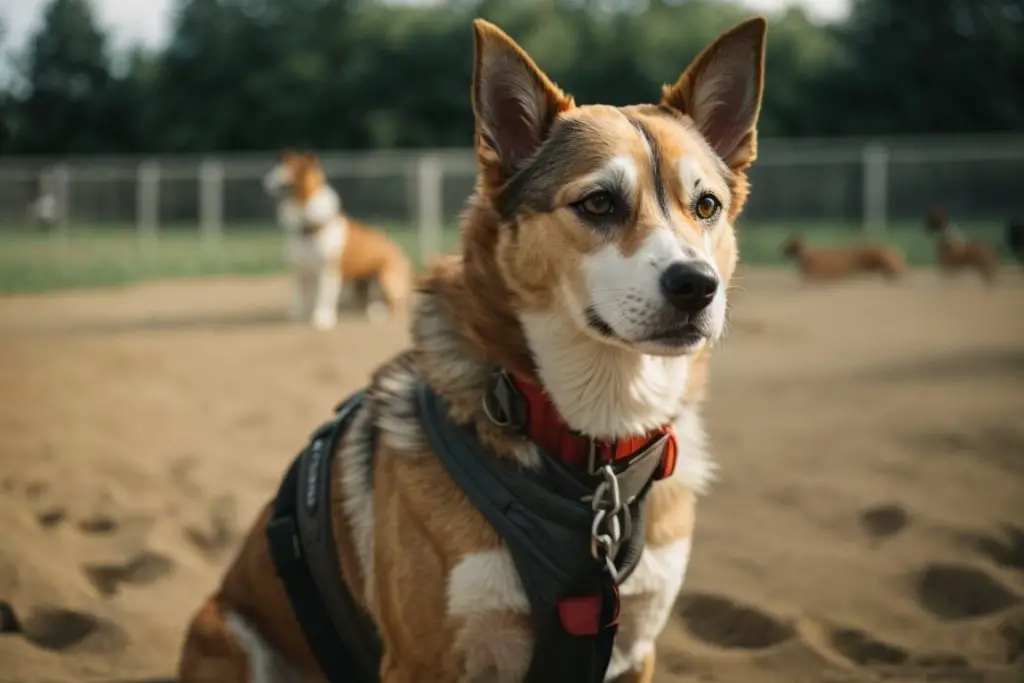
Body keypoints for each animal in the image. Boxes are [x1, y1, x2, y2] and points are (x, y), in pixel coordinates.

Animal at [180, 17, 765, 683]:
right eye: (598, 202)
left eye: (706, 205)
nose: (697, 286)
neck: (592, 453)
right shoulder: (421, 662)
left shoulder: (636, 649)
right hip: (230, 632)